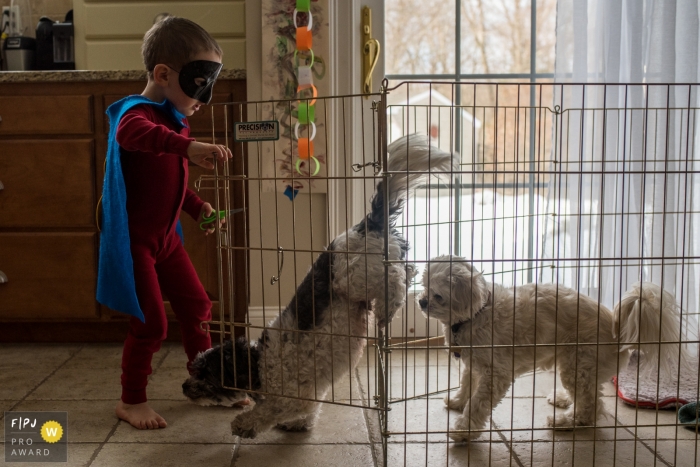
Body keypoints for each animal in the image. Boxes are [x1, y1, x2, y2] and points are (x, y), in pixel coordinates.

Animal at [182, 134, 460, 438]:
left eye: (206, 373)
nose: (184, 386)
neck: (258, 362)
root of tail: (366, 225)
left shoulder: (290, 395)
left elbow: (268, 411)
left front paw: (244, 424)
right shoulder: (310, 393)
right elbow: (308, 410)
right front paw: (299, 424)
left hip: (352, 277)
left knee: (395, 278)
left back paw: (387, 310)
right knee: (407, 270)